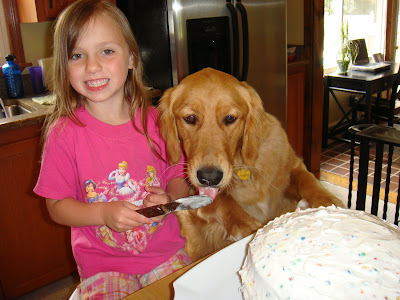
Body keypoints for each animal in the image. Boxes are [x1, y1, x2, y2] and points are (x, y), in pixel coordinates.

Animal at [158, 68, 342, 260]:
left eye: (230, 118)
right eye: (190, 118)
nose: (209, 178)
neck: (240, 165)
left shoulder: (292, 167)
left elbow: (307, 178)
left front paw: (327, 200)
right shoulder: (191, 195)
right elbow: (221, 199)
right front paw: (244, 223)